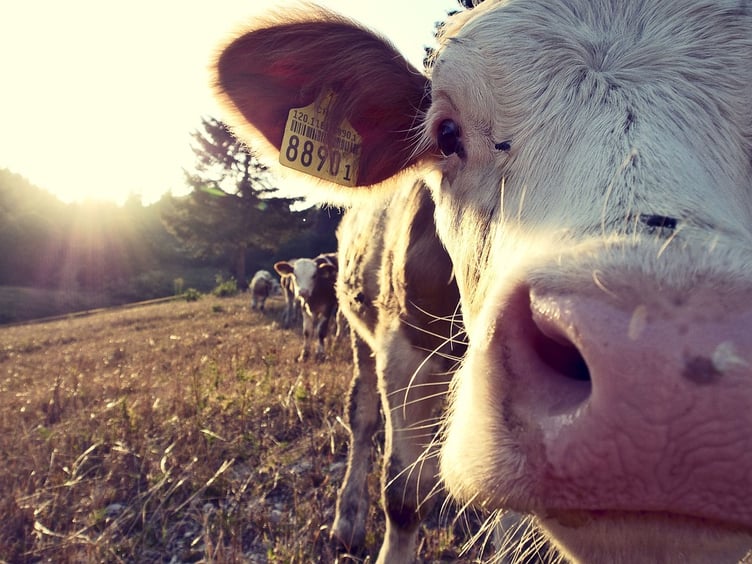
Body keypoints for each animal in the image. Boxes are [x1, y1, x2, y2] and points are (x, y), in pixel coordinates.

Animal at [214, 2, 752, 564]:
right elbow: (403, 493)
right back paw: (347, 519)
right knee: (361, 418)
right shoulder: (402, 351)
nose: (652, 380)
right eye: (446, 135)